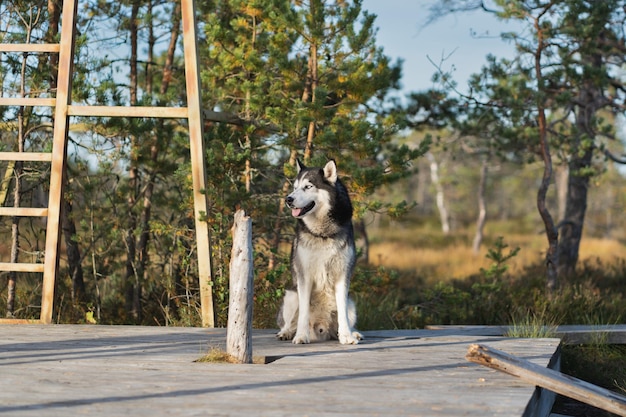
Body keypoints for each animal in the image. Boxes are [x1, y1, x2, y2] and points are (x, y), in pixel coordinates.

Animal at [276, 158, 360, 342]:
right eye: (295, 187)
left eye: (308, 186)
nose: (288, 199)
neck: (323, 234)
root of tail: (322, 328)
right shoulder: (304, 277)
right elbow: (303, 313)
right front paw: (301, 336)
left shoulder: (342, 276)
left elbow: (342, 313)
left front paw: (346, 336)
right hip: (291, 296)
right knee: (290, 321)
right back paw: (287, 332)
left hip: (352, 303)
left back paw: (353, 332)